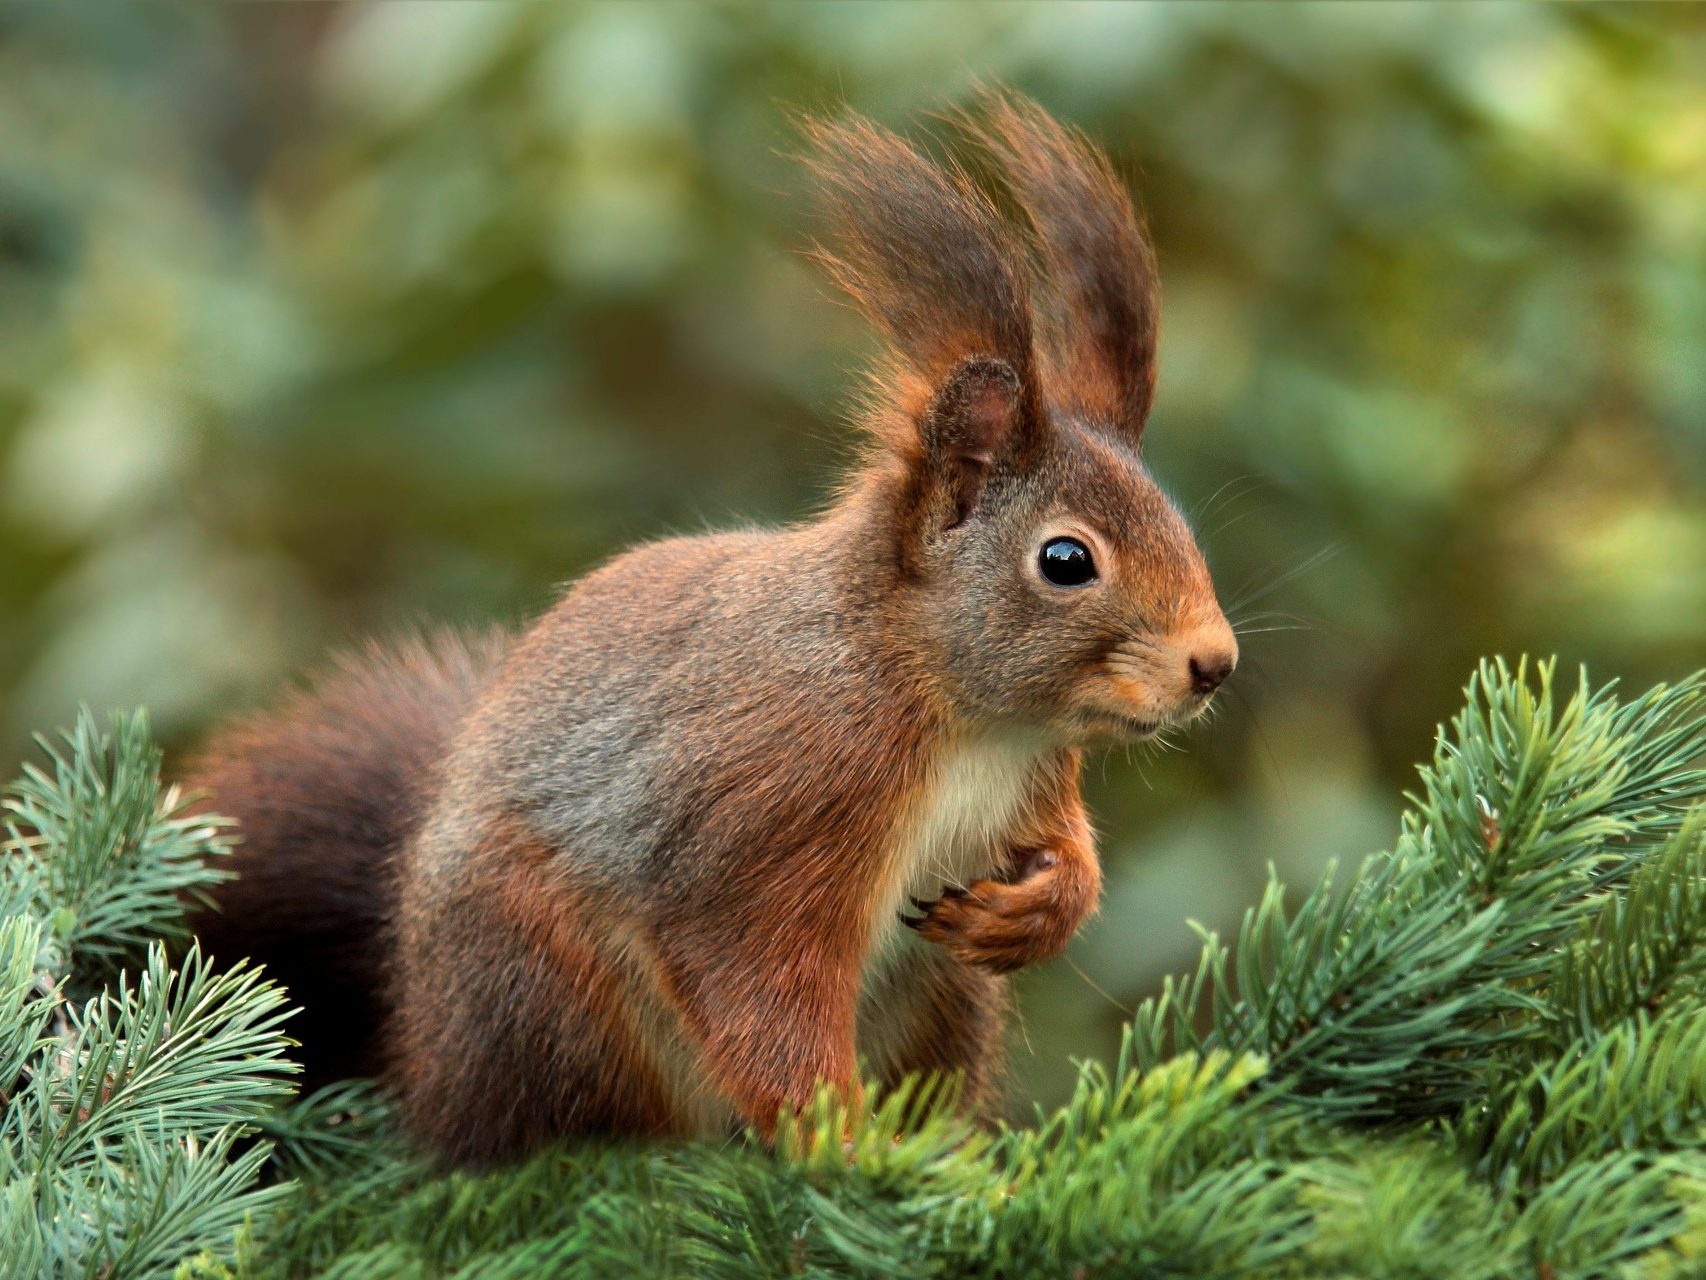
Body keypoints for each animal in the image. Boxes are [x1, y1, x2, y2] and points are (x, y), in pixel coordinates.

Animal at [182, 95, 1238, 1167]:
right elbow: (755, 983)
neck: (962, 714)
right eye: (1066, 560)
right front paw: (843, 1147)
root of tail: (422, 1048)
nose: (1215, 663)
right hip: (548, 985)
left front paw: (1041, 909)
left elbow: (1069, 851)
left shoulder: (1037, 779)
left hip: (943, 998)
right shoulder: (775, 806)